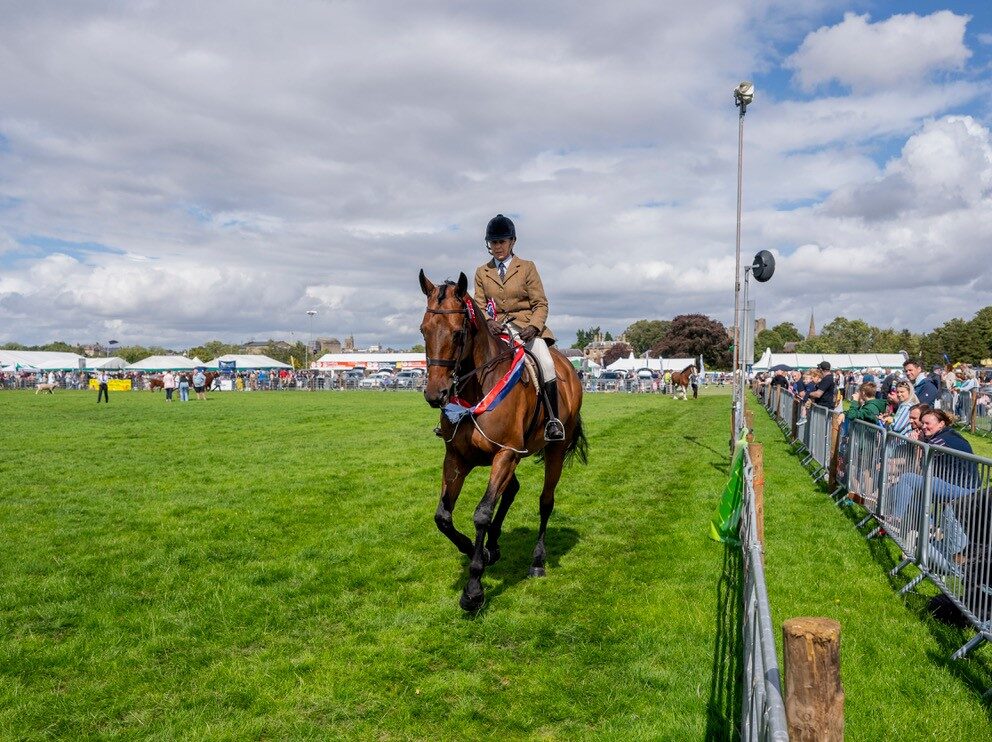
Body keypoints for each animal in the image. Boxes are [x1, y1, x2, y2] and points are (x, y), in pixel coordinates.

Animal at [418, 270, 588, 612]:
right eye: (423, 330)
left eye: (458, 333)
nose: (435, 394)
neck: (477, 389)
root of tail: (568, 369)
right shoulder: (456, 457)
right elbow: (443, 517)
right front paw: (474, 549)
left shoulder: (505, 455)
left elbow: (482, 512)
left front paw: (473, 589)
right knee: (511, 491)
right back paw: (493, 547)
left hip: (552, 450)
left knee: (545, 501)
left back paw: (537, 561)